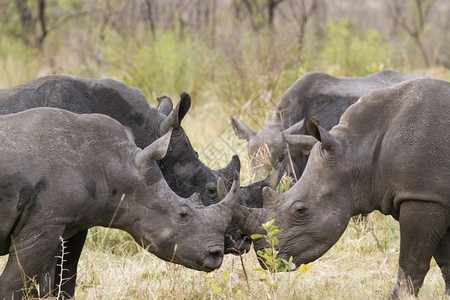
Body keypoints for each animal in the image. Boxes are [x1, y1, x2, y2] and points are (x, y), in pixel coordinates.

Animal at [0, 107, 239, 298]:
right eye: (183, 214)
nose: (216, 254)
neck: (117, 166)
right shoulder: (46, 222)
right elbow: (13, 284)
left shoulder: (56, 221)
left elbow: (45, 282)